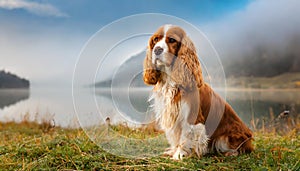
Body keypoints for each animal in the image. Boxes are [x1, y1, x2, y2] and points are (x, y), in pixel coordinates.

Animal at [143, 24, 253, 160]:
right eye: (155, 39)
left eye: (172, 40)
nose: (157, 50)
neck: (171, 79)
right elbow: (176, 137)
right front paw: (173, 151)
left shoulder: (191, 117)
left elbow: (186, 137)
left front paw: (180, 154)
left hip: (227, 137)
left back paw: (230, 152)